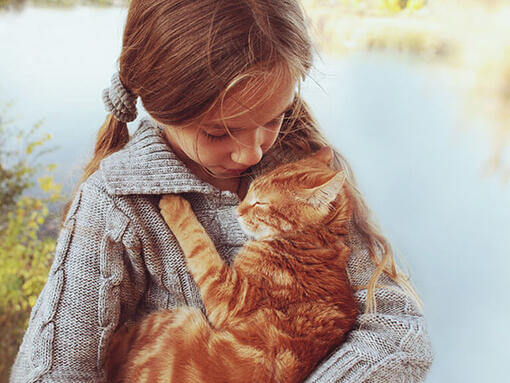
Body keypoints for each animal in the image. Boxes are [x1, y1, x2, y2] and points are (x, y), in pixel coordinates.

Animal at [105, 147, 356, 383]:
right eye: (250, 190)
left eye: (260, 203)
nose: (238, 211)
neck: (311, 243)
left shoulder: (230, 296)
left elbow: (198, 242)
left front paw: (175, 206)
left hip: (174, 319)